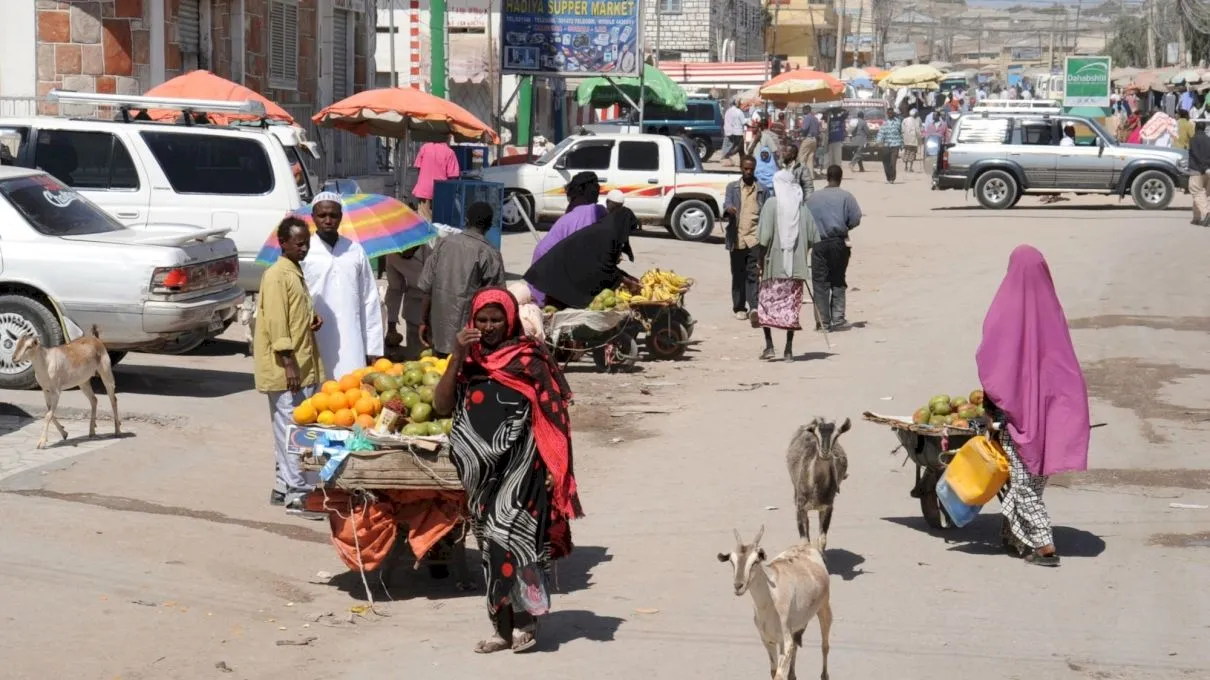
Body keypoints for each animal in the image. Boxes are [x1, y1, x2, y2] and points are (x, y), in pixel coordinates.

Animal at [716, 525, 832, 677]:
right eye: (731, 561)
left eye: (755, 561)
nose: (738, 586)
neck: (772, 598)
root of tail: (807, 547)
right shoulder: (768, 641)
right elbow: (773, 671)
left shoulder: (785, 642)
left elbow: (779, 674)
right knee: (797, 646)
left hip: (824, 607)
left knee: (825, 645)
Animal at [784, 413, 851, 551]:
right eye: (816, 434)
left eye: (837, 435)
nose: (824, 452)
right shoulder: (800, 507)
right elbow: (804, 542)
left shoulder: (827, 507)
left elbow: (822, 540)